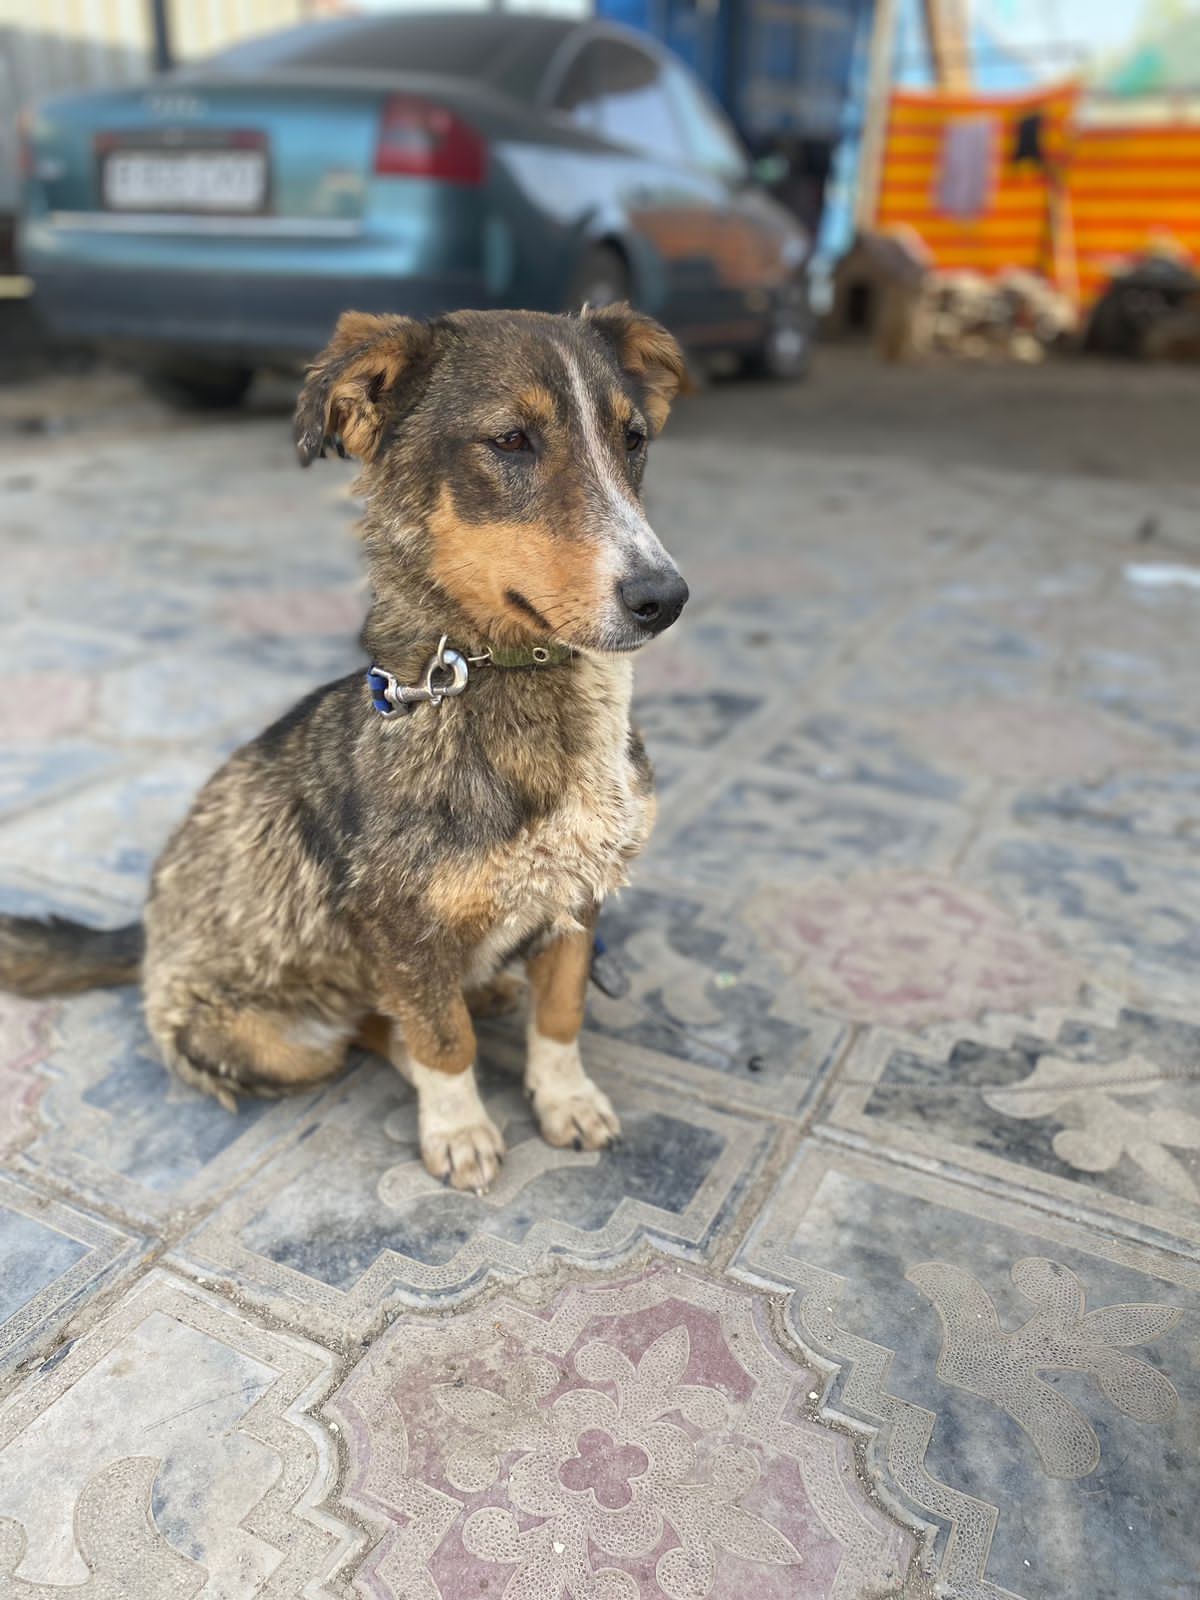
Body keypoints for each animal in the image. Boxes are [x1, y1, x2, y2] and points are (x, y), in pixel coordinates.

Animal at [0, 305, 691, 1196]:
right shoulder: (398, 927)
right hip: (272, 1041)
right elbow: (441, 1040)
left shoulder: (580, 893)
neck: (504, 688)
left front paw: (566, 1098)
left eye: (633, 439)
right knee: (372, 1025)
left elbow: (563, 1011)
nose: (665, 598)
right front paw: (459, 1128)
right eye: (510, 441)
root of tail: (146, 936)